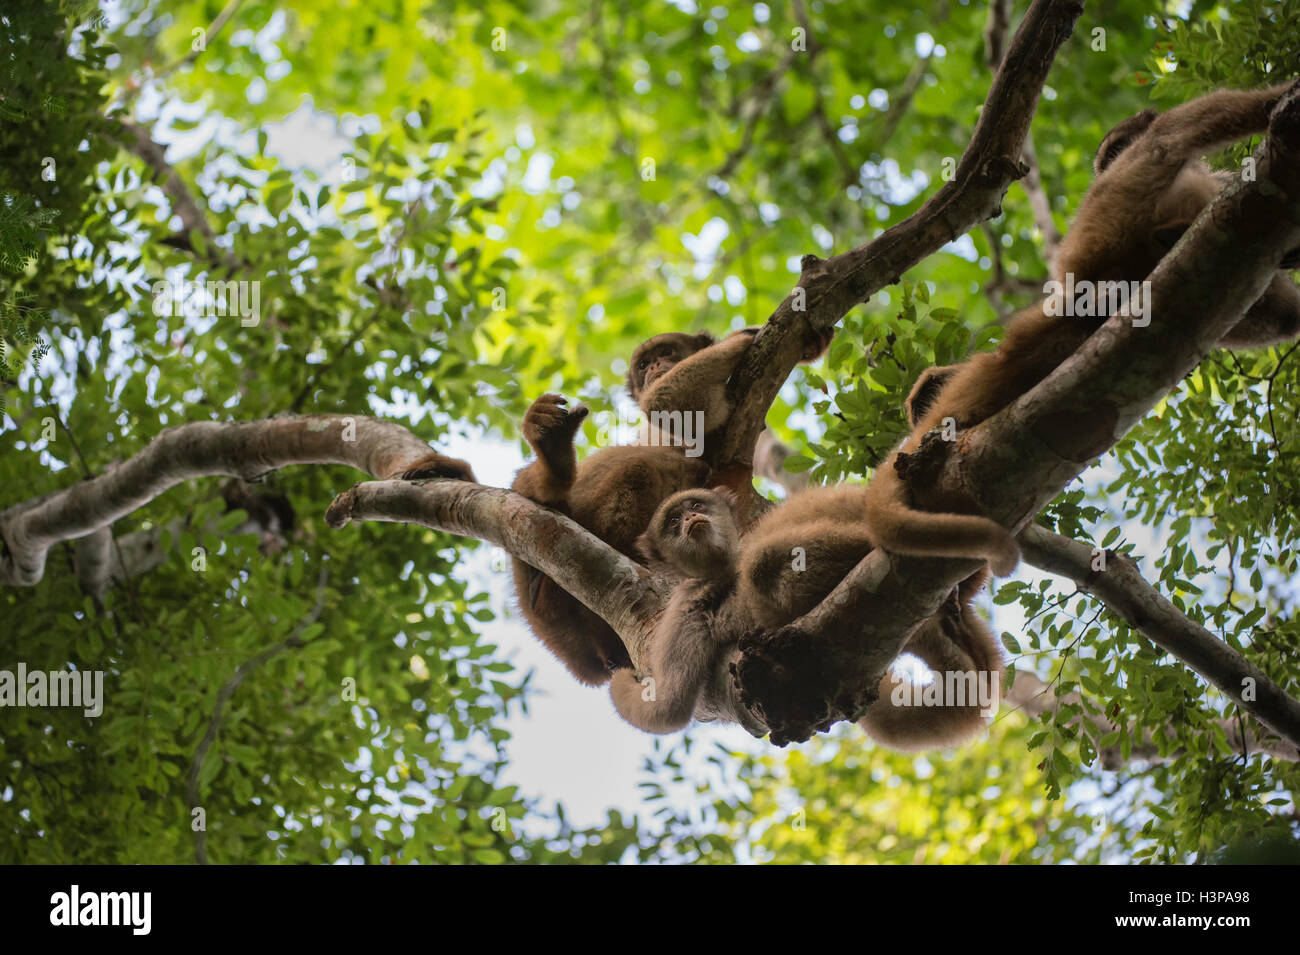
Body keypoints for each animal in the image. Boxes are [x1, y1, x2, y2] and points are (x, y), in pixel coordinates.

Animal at [611, 488, 1003, 748]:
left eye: (695, 505)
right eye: (673, 521)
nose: (691, 519)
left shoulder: (687, 600)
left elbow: (669, 709)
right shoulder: (687, 604)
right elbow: (671, 708)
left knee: (762, 562)